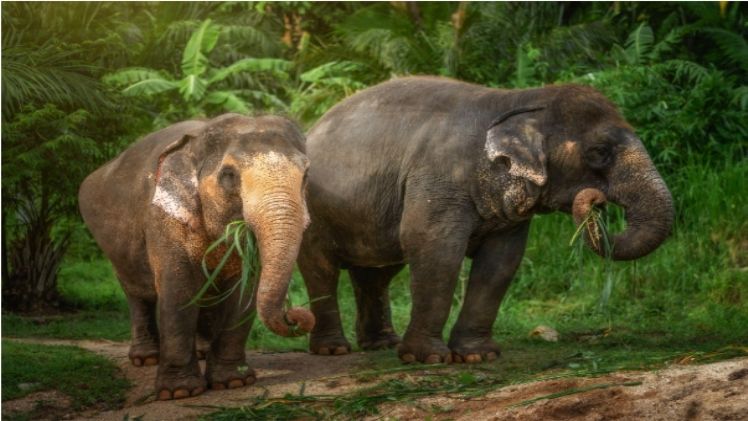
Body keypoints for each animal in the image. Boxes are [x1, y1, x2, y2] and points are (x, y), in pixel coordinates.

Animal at [78, 114, 314, 399]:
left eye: (306, 175)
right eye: (228, 175)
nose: (296, 315)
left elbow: (243, 293)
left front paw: (233, 382)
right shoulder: (163, 219)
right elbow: (179, 290)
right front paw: (180, 392)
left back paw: (201, 353)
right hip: (114, 249)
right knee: (137, 294)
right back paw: (145, 359)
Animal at [298, 76, 673, 364]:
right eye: (599, 153)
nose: (596, 201)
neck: (518, 99)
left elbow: (500, 263)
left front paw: (478, 355)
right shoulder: (438, 179)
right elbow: (435, 251)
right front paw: (428, 359)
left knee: (376, 274)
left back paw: (381, 345)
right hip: (311, 213)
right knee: (321, 268)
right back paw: (333, 350)